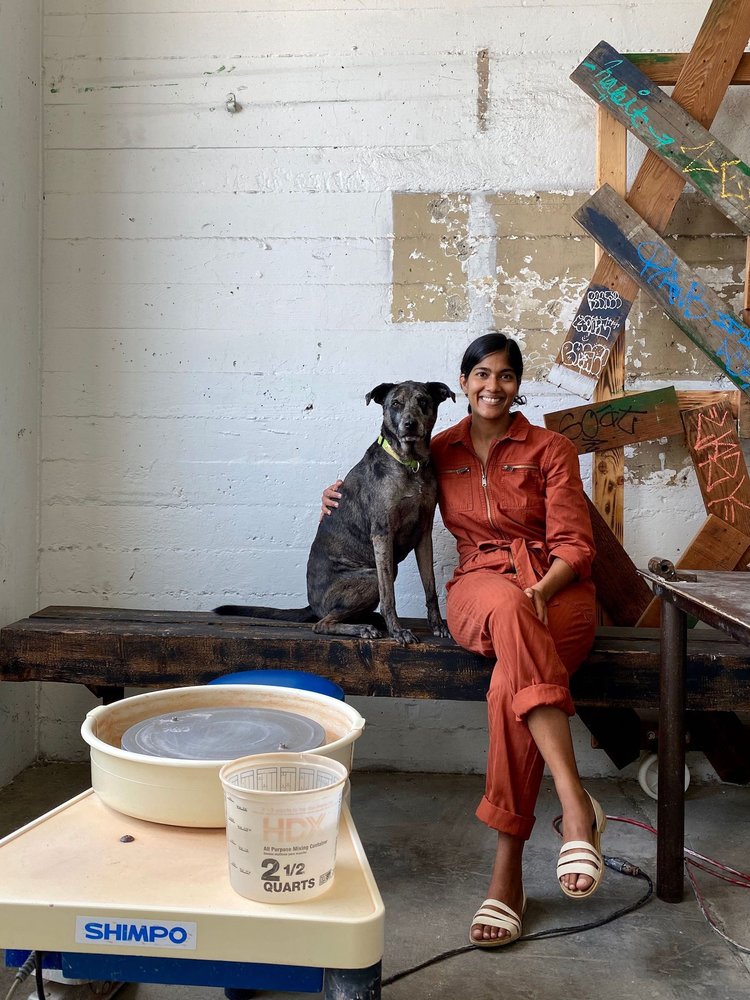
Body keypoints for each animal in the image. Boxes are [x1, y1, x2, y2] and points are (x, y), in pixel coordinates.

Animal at [214, 378, 456, 644]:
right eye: (395, 403)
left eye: (423, 401)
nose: (409, 424)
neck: (410, 464)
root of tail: (312, 605)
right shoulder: (382, 533)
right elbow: (388, 596)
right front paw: (397, 631)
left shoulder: (423, 534)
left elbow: (430, 586)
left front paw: (438, 625)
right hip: (370, 576)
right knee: (322, 623)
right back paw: (362, 628)